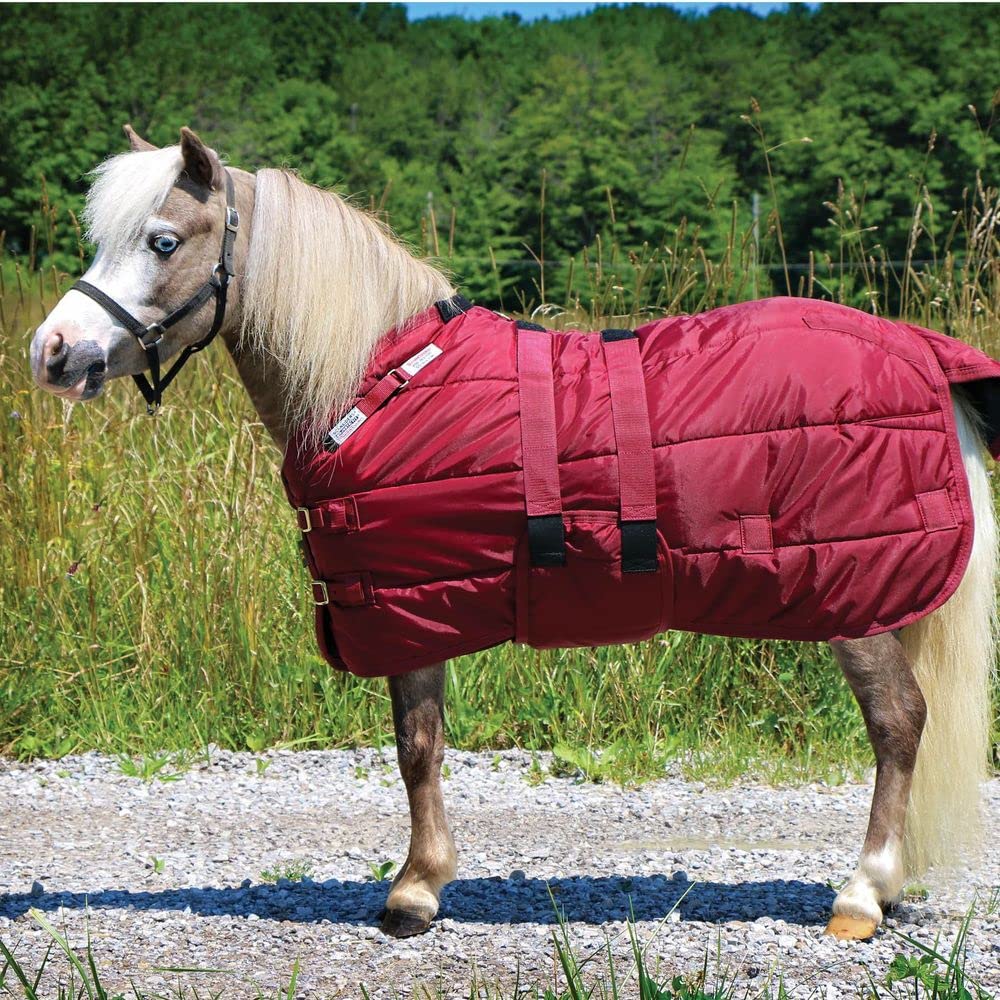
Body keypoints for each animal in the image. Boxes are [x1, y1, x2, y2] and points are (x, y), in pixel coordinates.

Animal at [29, 125, 999, 942]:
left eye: (163, 241)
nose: (53, 350)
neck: (373, 383)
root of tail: (922, 351)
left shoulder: (410, 612)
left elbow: (417, 748)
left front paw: (415, 891)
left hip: (856, 602)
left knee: (898, 723)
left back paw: (863, 894)